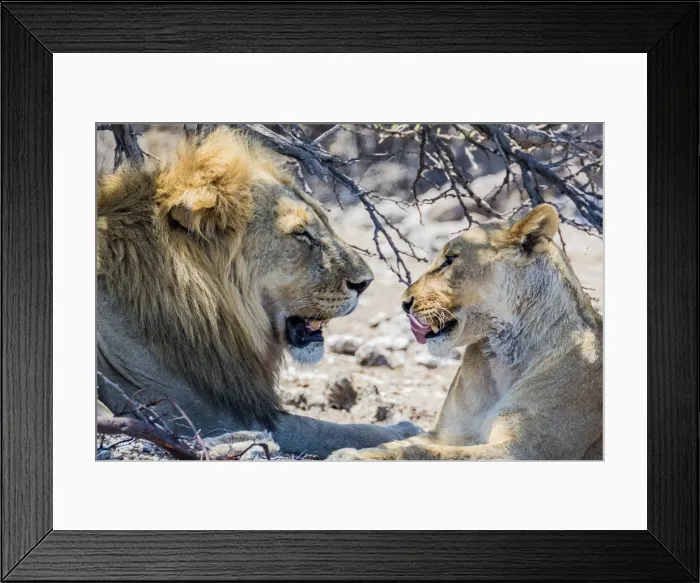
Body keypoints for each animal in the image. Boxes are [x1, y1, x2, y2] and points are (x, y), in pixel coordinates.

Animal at [329, 204, 602, 460]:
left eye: (450, 260)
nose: (405, 303)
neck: (503, 354)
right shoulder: (444, 433)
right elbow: (402, 445)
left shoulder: (524, 451)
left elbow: (427, 453)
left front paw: (350, 456)